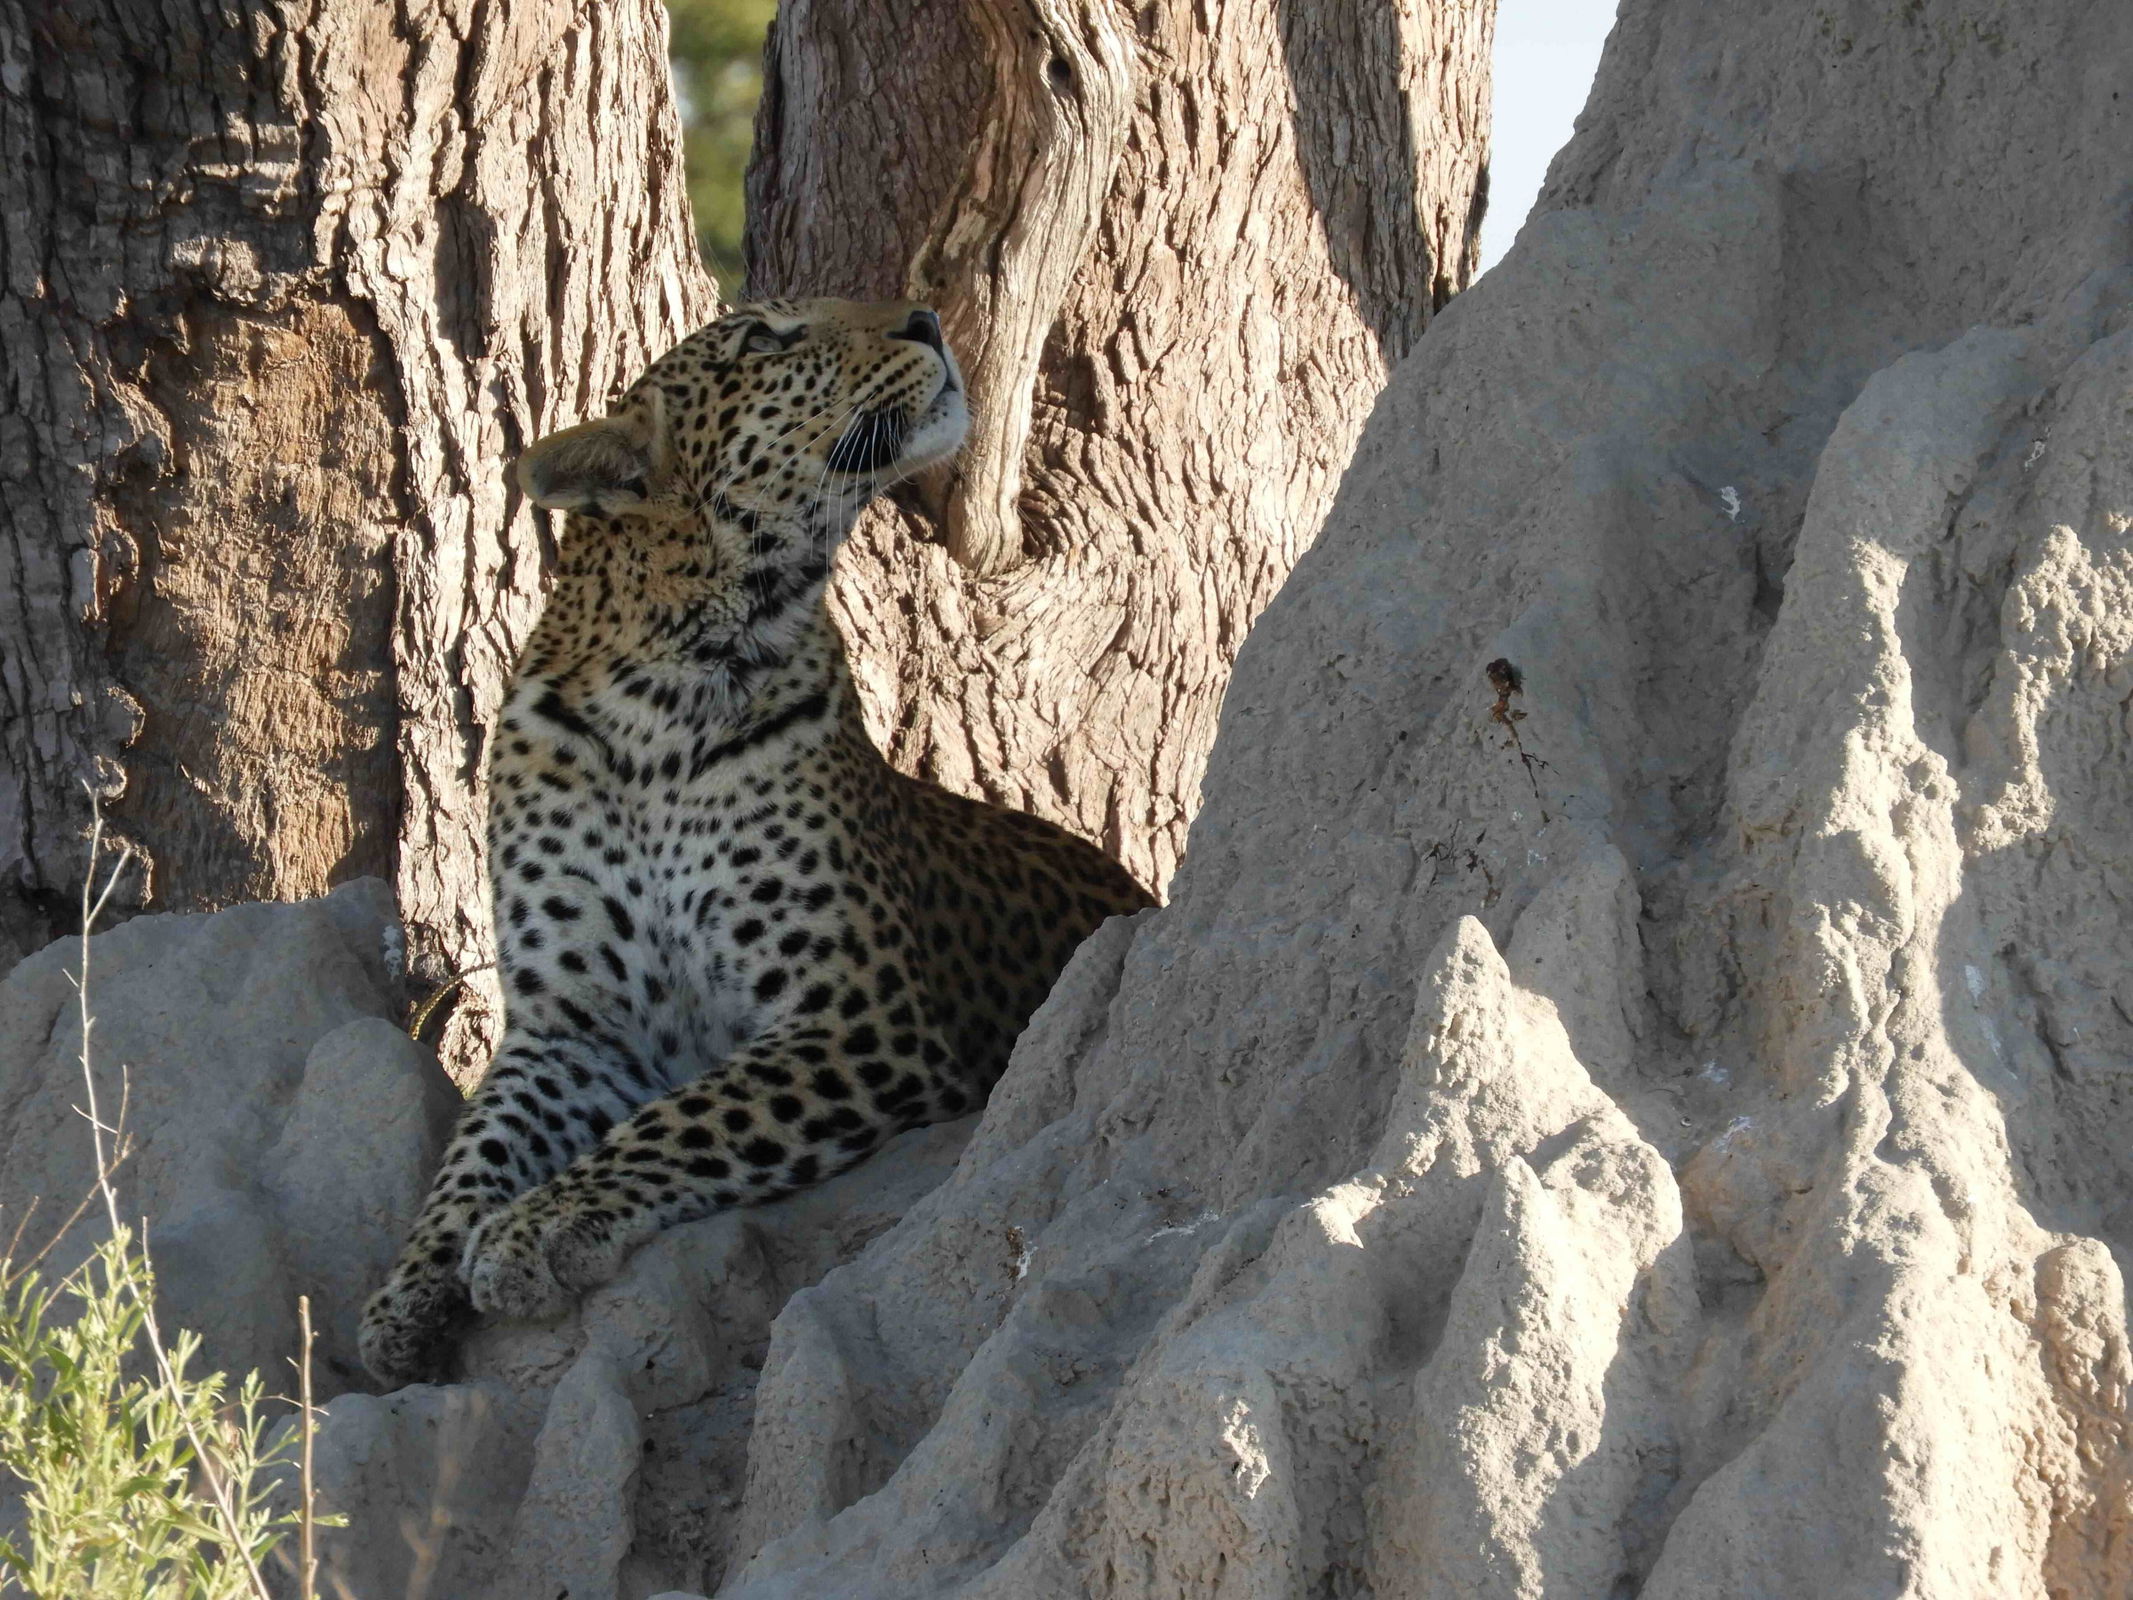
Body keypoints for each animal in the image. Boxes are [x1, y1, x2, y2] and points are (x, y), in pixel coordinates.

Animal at [356, 298, 1151, 1390]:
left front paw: (539, 1226)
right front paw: (405, 1291)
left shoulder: (856, 1014)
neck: (670, 680)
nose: (925, 316)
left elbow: (689, 1117)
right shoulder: (572, 1024)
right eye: (767, 341)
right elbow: (475, 1148)